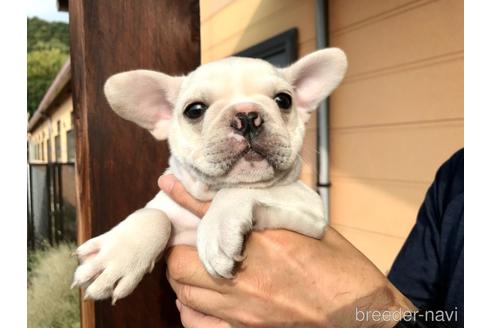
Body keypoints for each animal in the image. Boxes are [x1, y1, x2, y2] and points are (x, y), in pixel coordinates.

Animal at [71, 48, 348, 304]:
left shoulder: (311, 208)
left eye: (284, 100)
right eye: (194, 110)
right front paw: (117, 258)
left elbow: (238, 190)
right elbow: (154, 214)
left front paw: (217, 229)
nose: (247, 116)